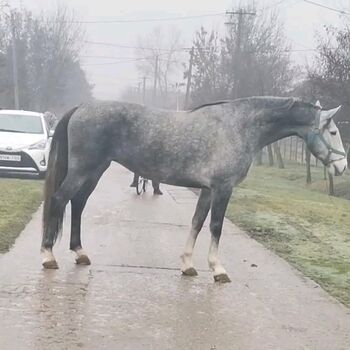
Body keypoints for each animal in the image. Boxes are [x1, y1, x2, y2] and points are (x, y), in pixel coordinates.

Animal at [41, 97, 348, 284]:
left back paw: (80, 252)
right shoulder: (223, 188)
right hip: (84, 170)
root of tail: (82, 107)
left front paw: (187, 265)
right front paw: (218, 269)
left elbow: (197, 223)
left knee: (77, 204)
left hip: (95, 171)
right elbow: (215, 227)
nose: (343, 167)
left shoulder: (207, 190)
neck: (240, 126)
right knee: (59, 200)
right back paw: (48, 256)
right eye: (333, 132)